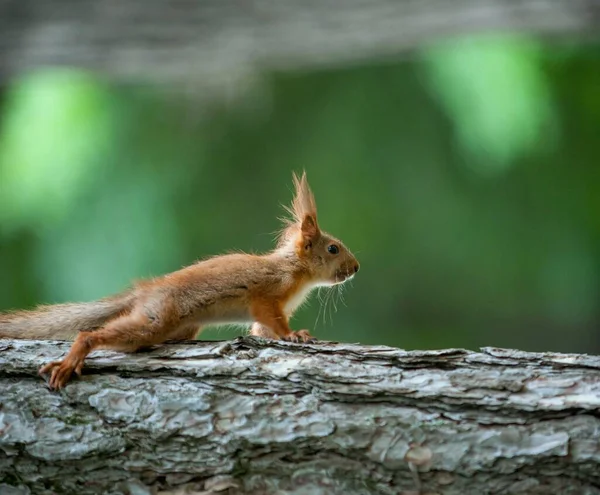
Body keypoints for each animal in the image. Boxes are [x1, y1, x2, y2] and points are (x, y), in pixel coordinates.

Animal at [0, 172, 358, 390]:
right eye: (333, 248)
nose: (355, 268)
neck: (296, 272)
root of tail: (143, 293)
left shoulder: (265, 312)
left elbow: (261, 331)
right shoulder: (267, 294)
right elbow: (273, 321)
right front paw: (293, 334)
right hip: (158, 318)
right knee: (91, 334)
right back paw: (73, 357)